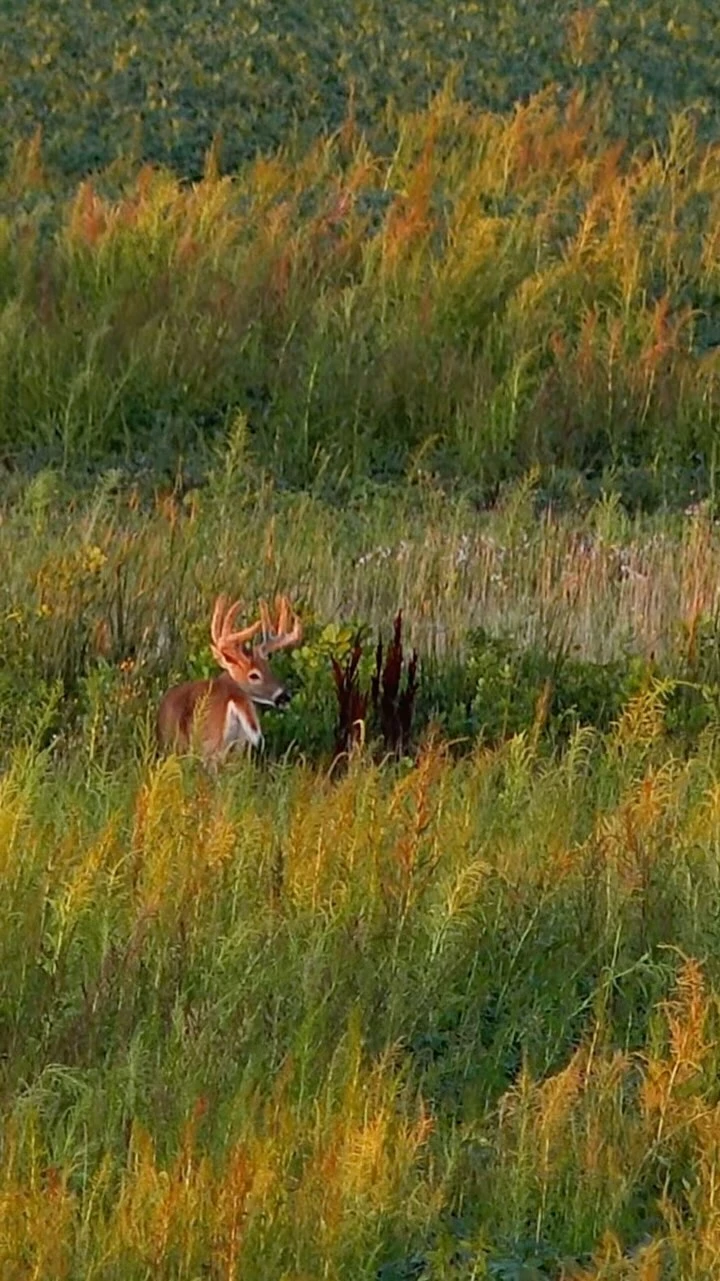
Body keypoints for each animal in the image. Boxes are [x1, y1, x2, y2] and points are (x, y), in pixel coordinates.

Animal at [155, 596, 301, 763]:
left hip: (211, 743)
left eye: (268, 669)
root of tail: (234, 696)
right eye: (255, 675)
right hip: (238, 744)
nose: (285, 695)